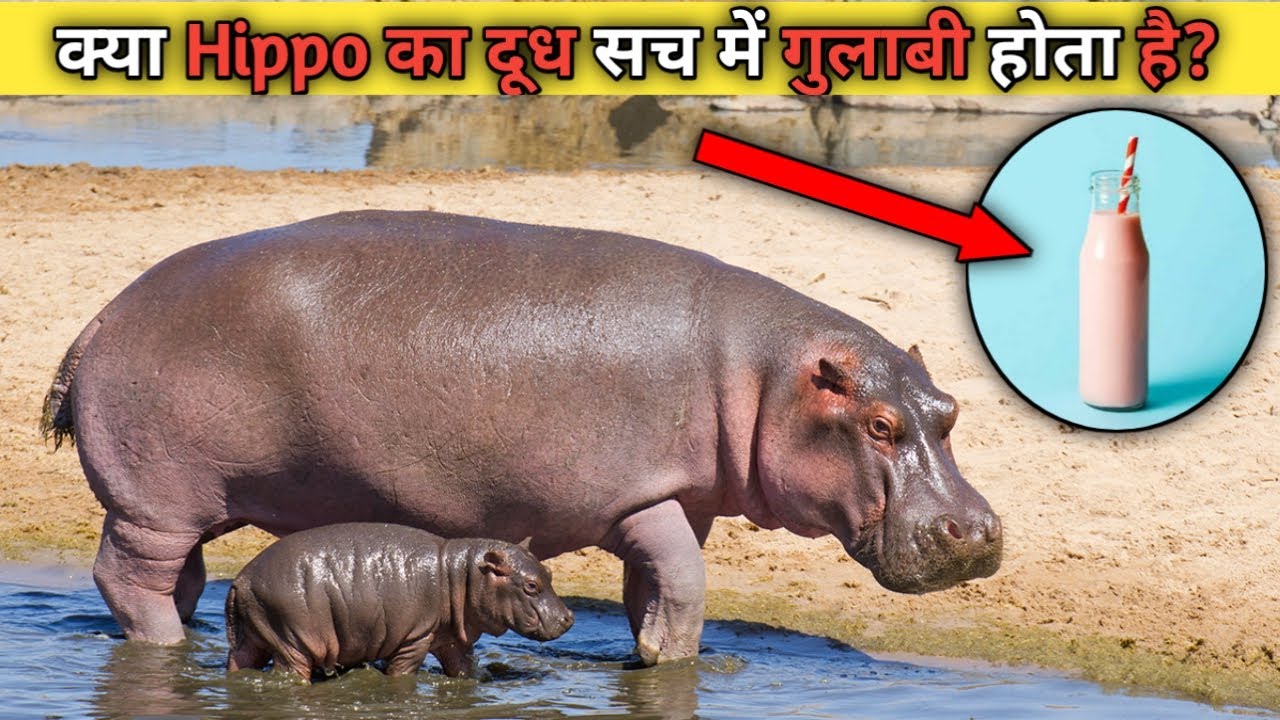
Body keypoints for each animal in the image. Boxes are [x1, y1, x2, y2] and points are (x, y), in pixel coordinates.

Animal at [225, 523, 572, 680]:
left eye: (549, 572)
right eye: (530, 585)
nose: (568, 617)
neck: (461, 573)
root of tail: (242, 579)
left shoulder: (450, 638)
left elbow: (463, 670)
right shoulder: (415, 638)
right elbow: (402, 674)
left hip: (255, 636)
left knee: (239, 661)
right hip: (293, 640)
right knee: (290, 673)